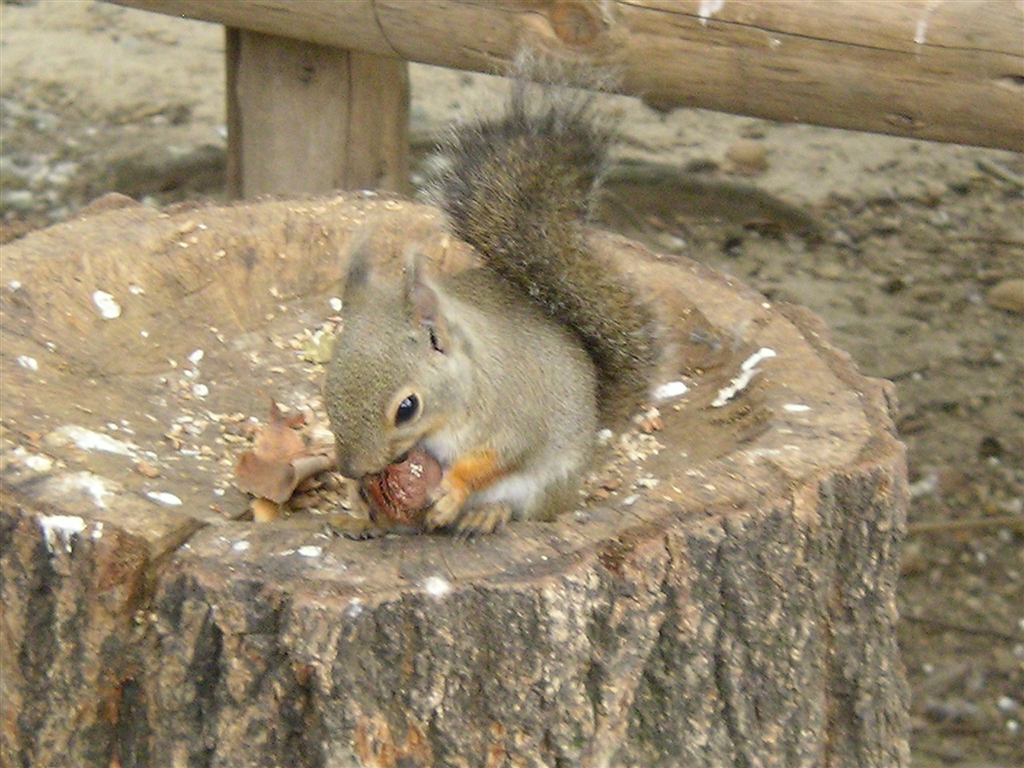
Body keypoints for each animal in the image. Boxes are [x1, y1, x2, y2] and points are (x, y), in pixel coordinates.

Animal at [327, 57, 663, 536]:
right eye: (328, 385)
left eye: (407, 408)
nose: (353, 469)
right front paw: (358, 497)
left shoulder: (514, 418)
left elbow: (497, 458)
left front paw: (452, 489)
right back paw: (361, 521)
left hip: (548, 483)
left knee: (528, 506)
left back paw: (486, 512)